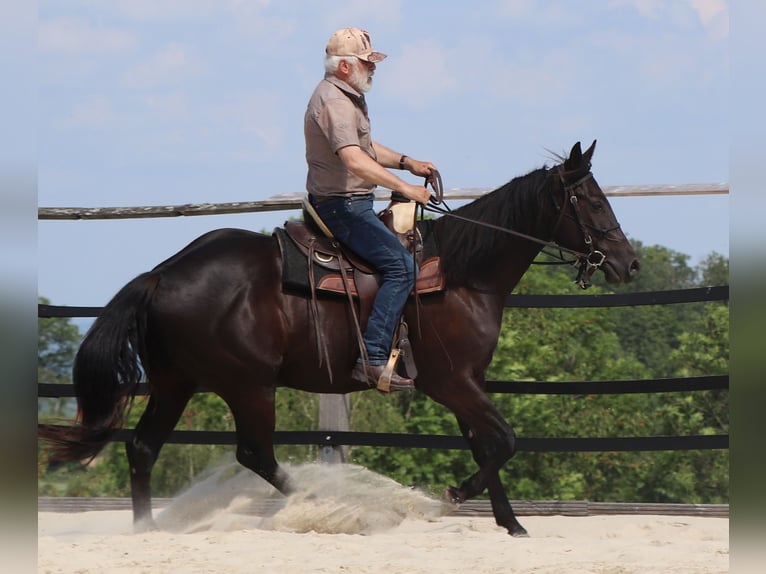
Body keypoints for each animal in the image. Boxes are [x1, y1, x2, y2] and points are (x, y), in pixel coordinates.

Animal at [39, 140, 639, 537]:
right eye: (592, 202)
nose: (629, 263)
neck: (462, 272)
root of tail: (163, 273)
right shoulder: (451, 382)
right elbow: (505, 440)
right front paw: (452, 498)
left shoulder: (468, 383)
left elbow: (487, 443)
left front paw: (510, 523)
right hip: (249, 385)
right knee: (255, 453)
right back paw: (336, 509)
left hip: (175, 383)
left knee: (143, 448)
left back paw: (147, 530)